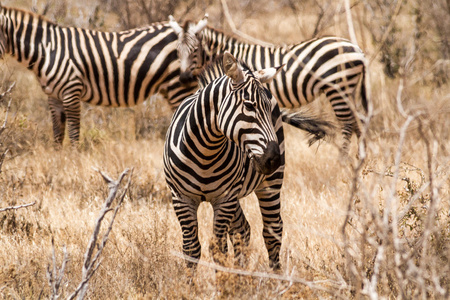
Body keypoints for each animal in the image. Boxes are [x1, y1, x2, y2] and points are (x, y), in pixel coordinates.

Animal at [0, 4, 208, 145]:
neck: (48, 48)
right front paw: (58, 163)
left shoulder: (71, 91)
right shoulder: (53, 96)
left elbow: (74, 134)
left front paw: (73, 164)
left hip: (178, 86)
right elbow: (58, 134)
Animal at [163, 51, 332, 270]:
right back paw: (241, 273)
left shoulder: (225, 198)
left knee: (271, 231)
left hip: (269, 184)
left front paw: (224, 280)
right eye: (249, 105)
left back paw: (274, 276)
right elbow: (191, 250)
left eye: (269, 110)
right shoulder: (181, 197)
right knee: (242, 230)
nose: (273, 160)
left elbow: (218, 249)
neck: (204, 152)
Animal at [169, 15, 370, 154]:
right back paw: (360, 158)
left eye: (195, 50)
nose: (184, 78)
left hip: (339, 88)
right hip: (349, 90)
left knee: (347, 125)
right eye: (177, 51)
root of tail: (357, 49)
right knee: (359, 122)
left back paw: (343, 160)